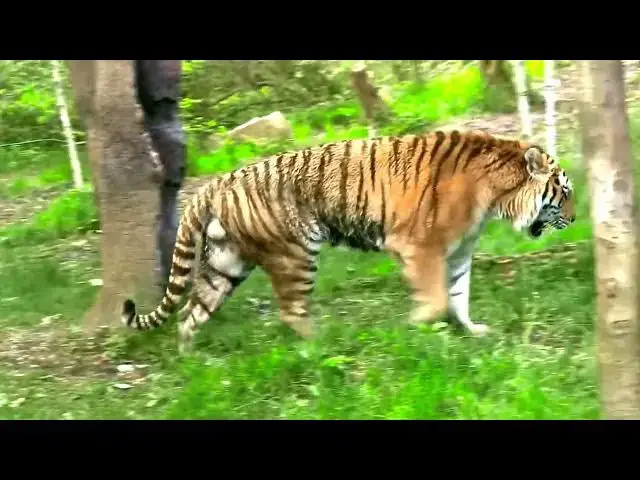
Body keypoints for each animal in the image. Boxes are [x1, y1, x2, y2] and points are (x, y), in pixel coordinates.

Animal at [121, 129, 576, 353]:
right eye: (565, 192)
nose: (575, 220)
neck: (497, 195)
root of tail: (214, 185)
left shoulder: (458, 252)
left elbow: (459, 296)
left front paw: (472, 331)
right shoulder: (420, 247)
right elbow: (436, 299)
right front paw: (414, 327)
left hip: (225, 265)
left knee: (190, 314)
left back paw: (194, 365)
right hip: (296, 253)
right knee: (291, 311)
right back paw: (323, 345)